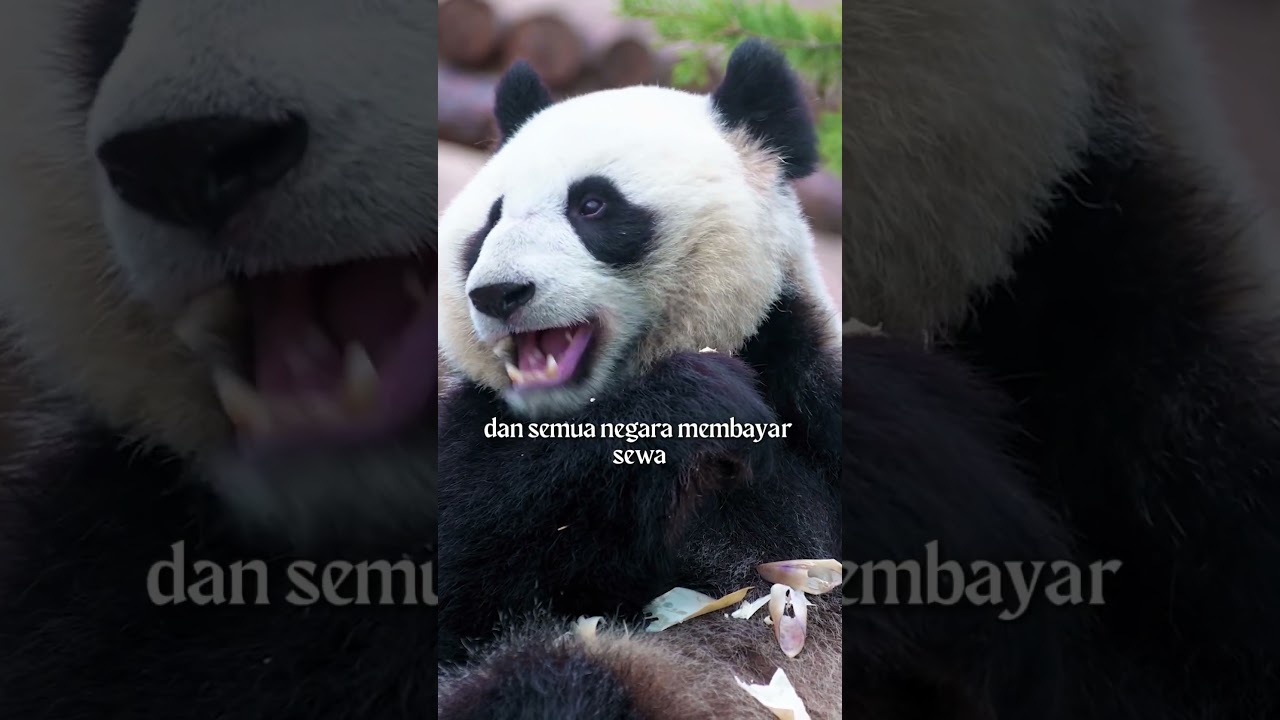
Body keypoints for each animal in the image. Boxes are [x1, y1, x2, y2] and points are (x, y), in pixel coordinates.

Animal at [433, 39, 1077, 719]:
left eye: (592, 204)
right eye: (489, 222)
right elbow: (463, 561)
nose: (499, 293)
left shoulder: (843, 403)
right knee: (549, 680)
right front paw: (696, 399)